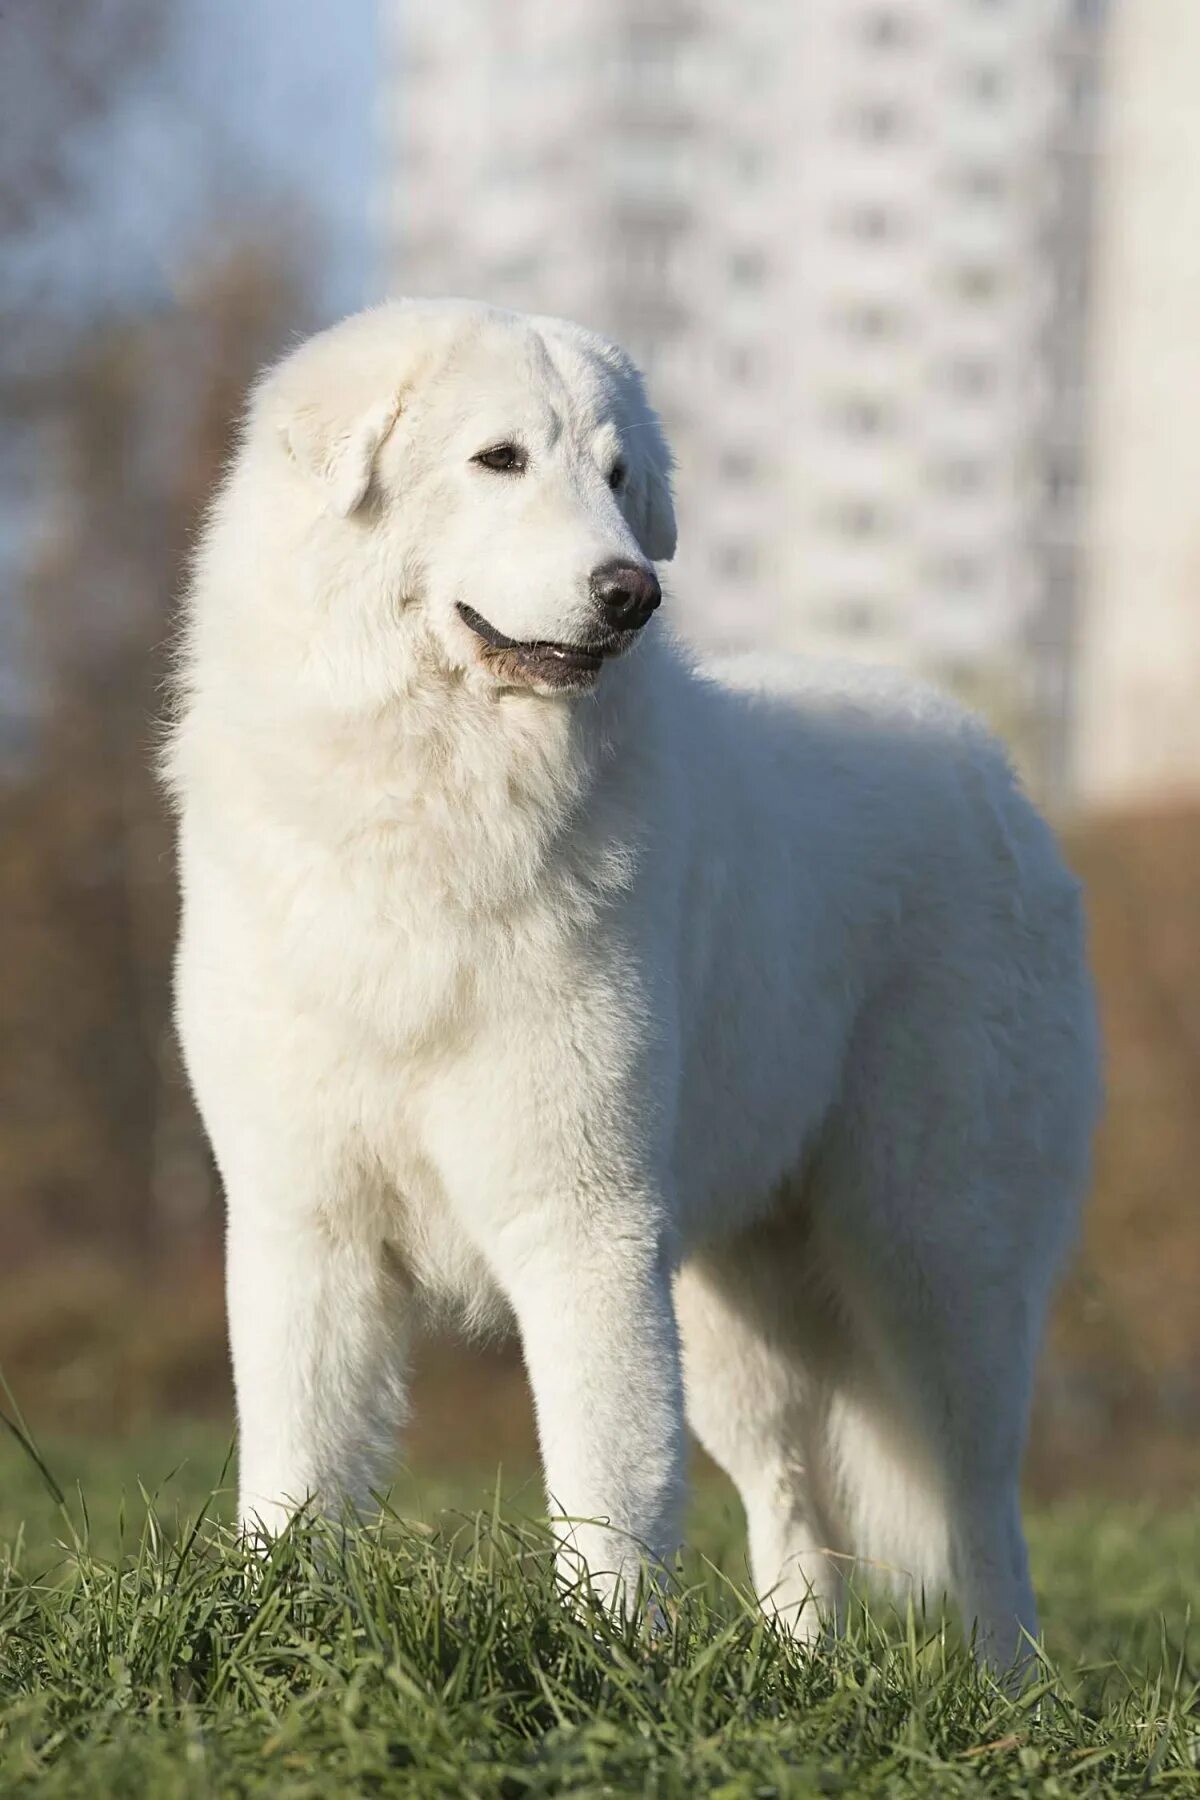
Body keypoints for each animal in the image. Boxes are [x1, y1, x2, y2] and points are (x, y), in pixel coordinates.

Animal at [164, 302, 1101, 1663]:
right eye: (499, 459)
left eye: (616, 479)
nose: (633, 592)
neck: (431, 796)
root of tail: (997, 773)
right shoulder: (306, 1216)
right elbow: (295, 1466)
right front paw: (275, 1629)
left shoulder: (584, 1220)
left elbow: (607, 1479)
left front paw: (605, 1658)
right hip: (736, 1309)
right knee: (792, 1497)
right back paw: (801, 1666)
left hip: (934, 1253)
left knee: (980, 1507)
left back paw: (1000, 1692)